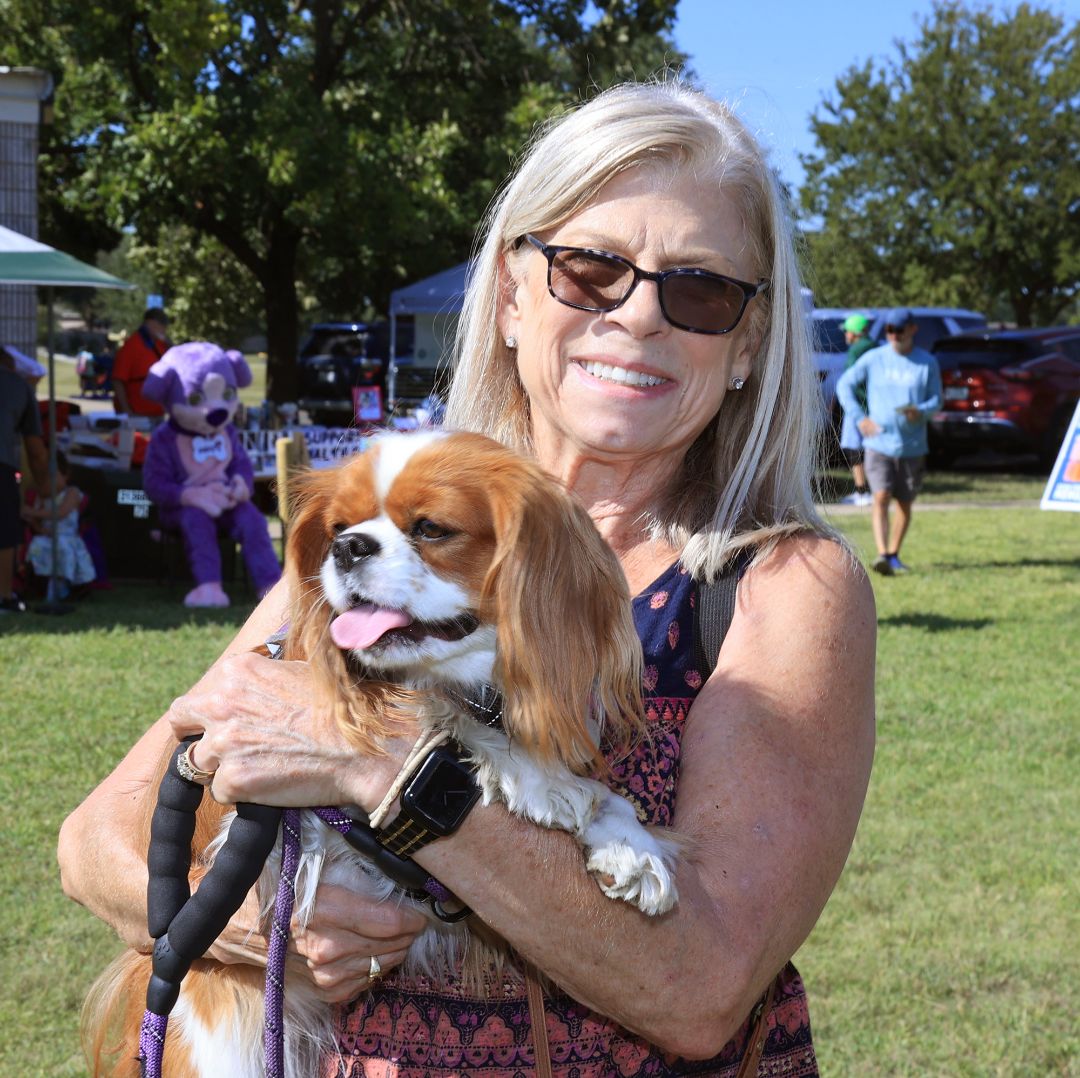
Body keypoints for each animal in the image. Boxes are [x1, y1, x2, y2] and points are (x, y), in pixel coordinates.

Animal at [82, 429, 679, 1077]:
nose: (348, 547)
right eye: (338, 526)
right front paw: (543, 781)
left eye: (432, 529)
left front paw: (631, 847)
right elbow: (437, 716)